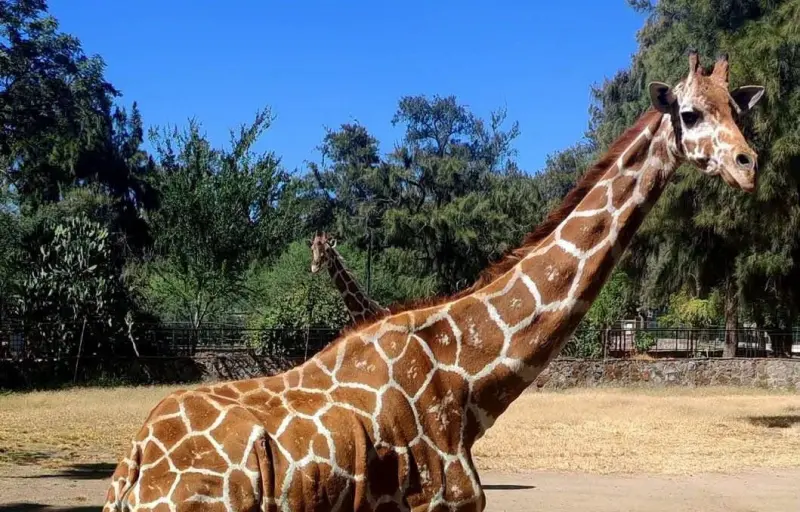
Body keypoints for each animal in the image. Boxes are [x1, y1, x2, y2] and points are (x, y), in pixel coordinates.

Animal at [103, 52, 765, 512]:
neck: (469, 376)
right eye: (689, 114)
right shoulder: (441, 503)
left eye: (740, 112)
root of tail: (133, 468)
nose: (748, 166)